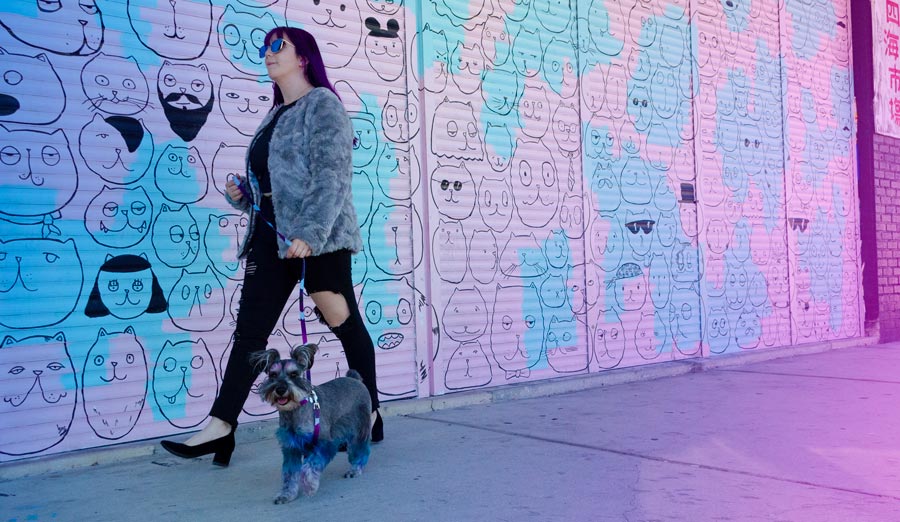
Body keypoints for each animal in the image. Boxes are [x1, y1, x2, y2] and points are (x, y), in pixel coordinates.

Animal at [251, 344, 370, 502]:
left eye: (294, 374)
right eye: (272, 375)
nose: (280, 389)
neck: (293, 411)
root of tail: (354, 379)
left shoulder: (324, 443)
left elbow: (309, 466)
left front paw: (309, 485)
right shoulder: (291, 448)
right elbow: (289, 474)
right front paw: (286, 494)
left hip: (360, 427)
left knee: (359, 449)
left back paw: (355, 469)